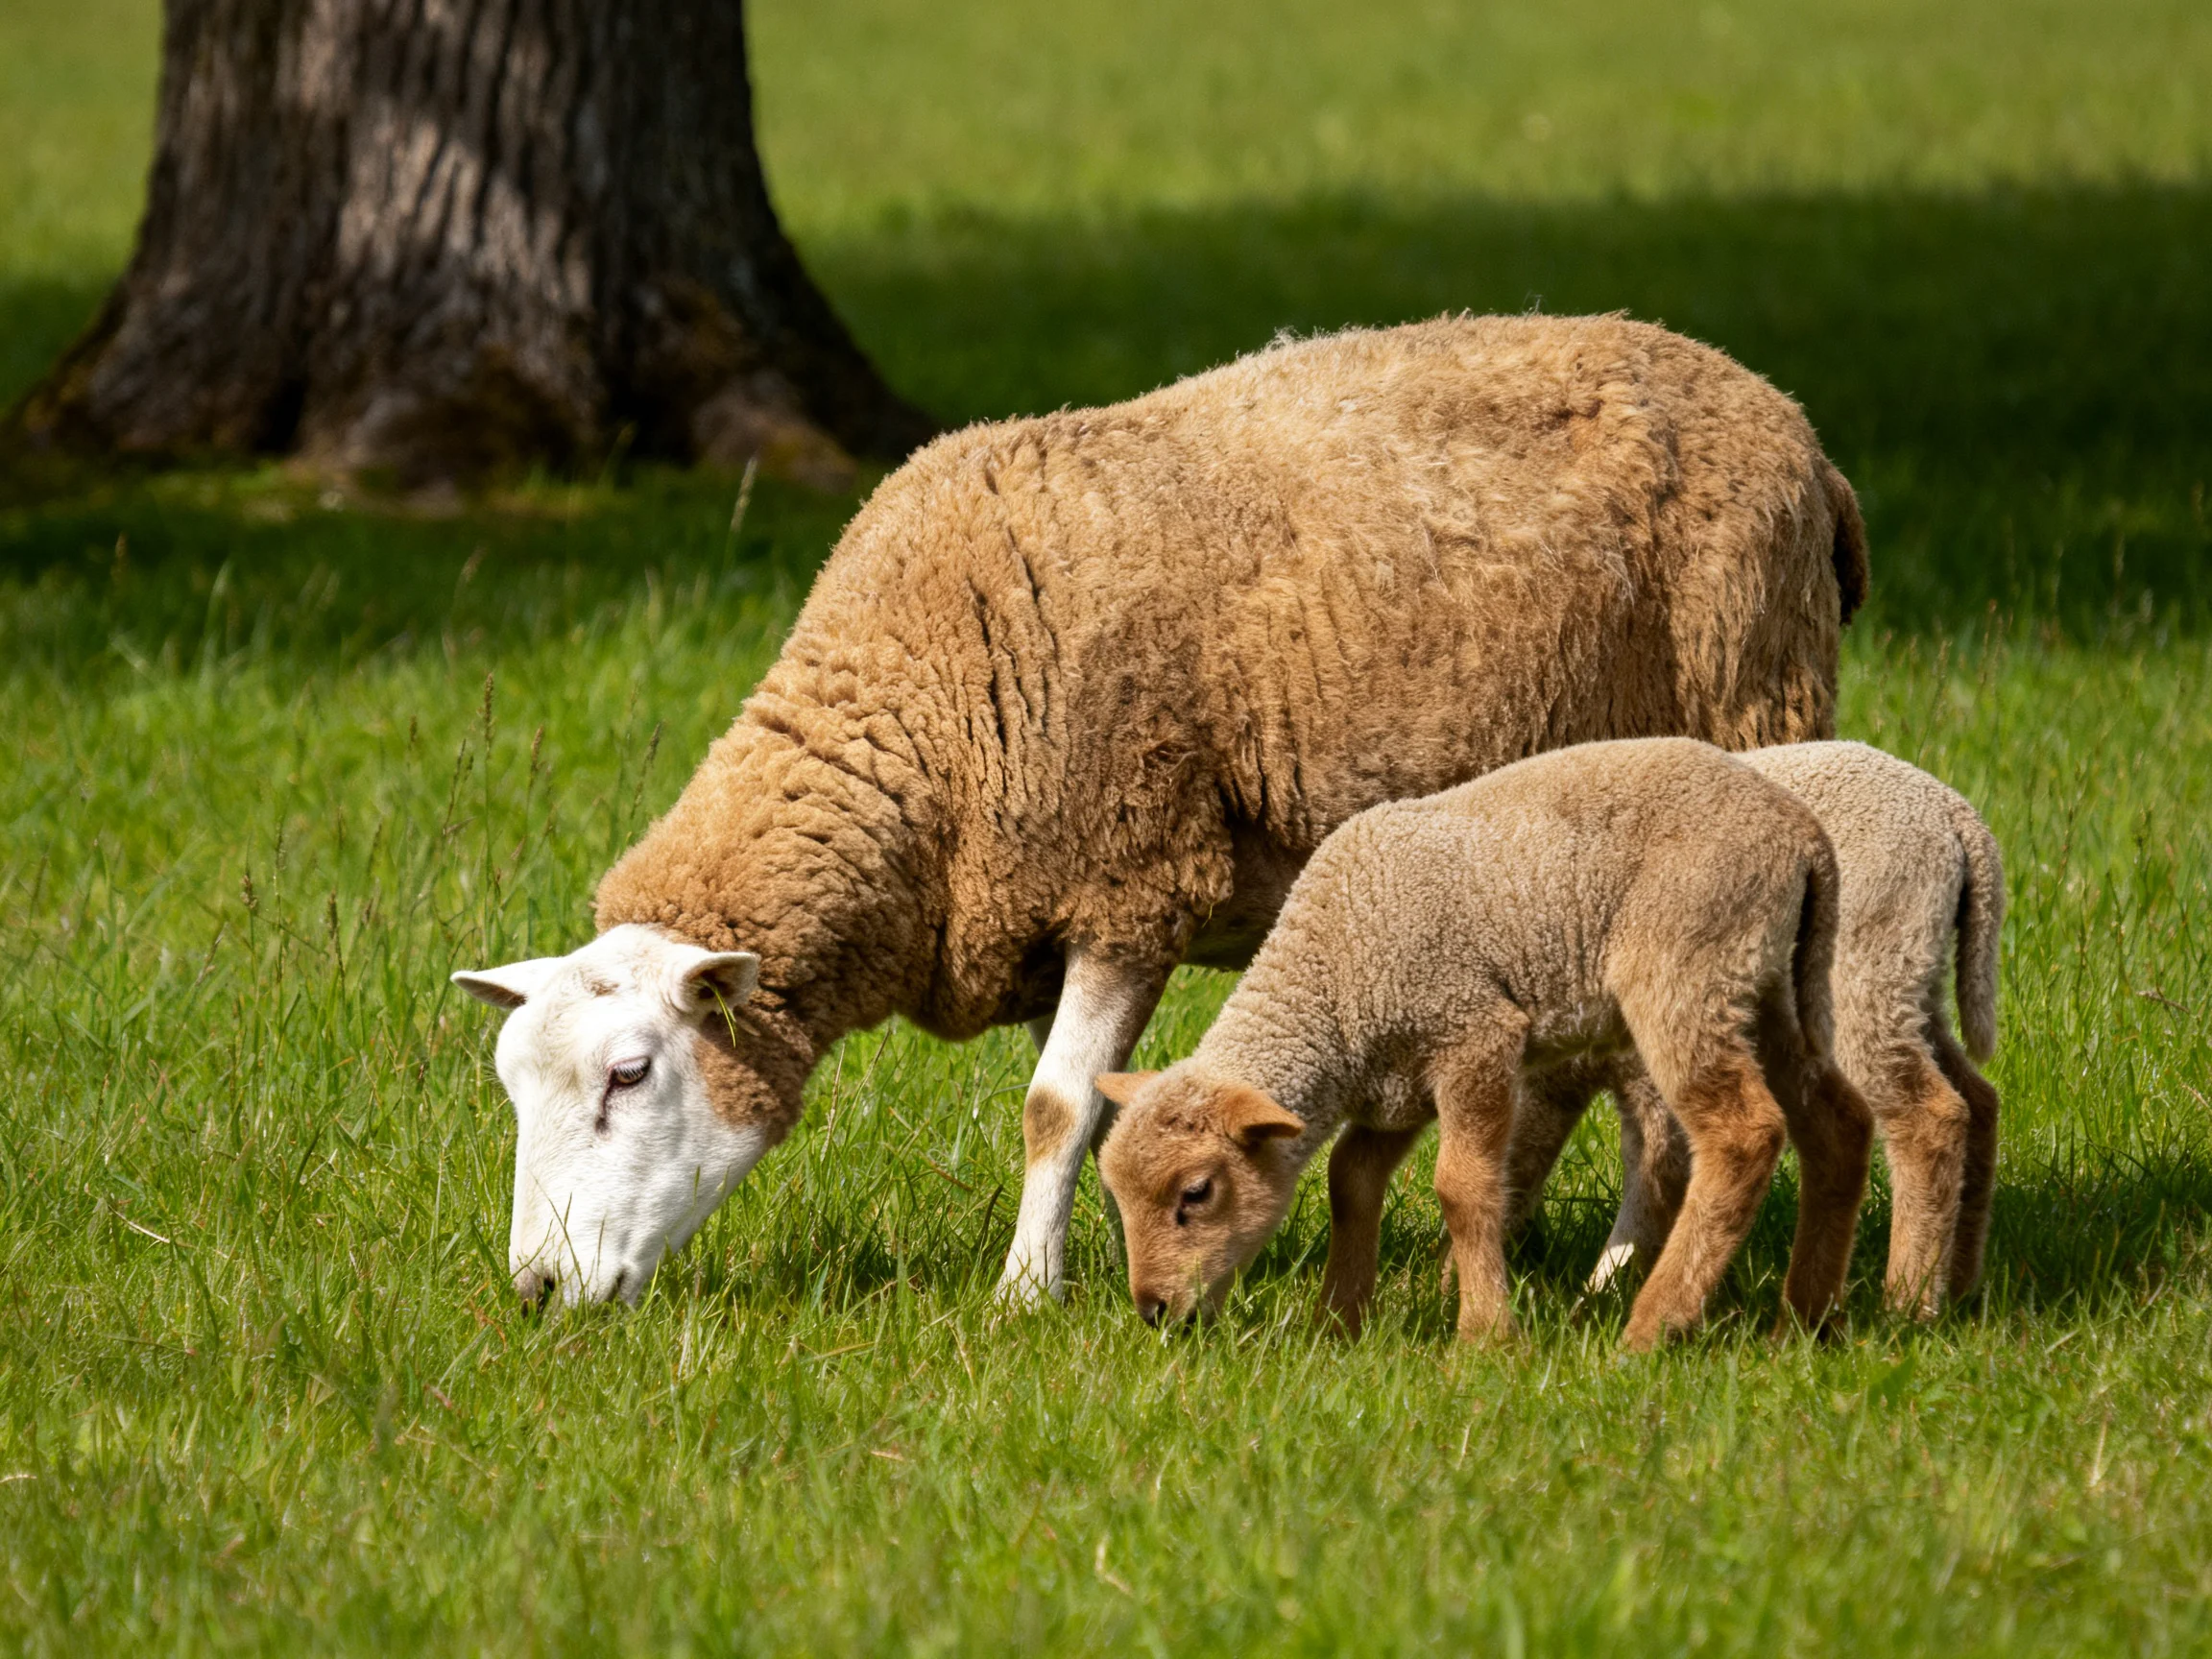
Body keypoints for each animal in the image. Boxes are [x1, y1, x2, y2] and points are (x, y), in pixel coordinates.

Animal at [1094, 738, 1877, 1350]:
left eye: (1195, 1193)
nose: (1153, 1311)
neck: (1335, 981)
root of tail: (1801, 836)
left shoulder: (1473, 1033)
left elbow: (1462, 1188)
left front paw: (1485, 1338)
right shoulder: (1394, 1087)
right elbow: (1349, 1182)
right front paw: (1338, 1325)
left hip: (1688, 968)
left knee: (1743, 1135)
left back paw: (1655, 1326)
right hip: (1772, 984)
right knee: (1839, 1122)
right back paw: (1805, 1321)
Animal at [1501, 741, 2004, 1316]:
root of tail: (1955, 817)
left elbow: (1540, 1169)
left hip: (1866, 973)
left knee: (1929, 1115)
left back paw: (1907, 1302)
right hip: (1914, 978)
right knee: (1977, 1100)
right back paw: (1958, 1285)